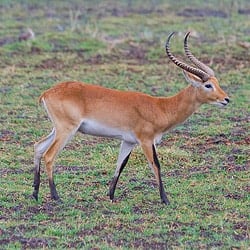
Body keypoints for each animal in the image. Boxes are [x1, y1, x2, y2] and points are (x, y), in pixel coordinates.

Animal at [32, 31, 229, 204]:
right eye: (208, 85)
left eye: (217, 82)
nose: (226, 99)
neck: (161, 107)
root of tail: (47, 93)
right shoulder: (146, 140)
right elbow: (156, 165)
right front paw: (165, 200)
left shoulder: (128, 141)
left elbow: (120, 165)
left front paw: (111, 196)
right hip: (67, 130)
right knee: (49, 155)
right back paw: (56, 197)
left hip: (57, 129)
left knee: (38, 147)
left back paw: (35, 194)